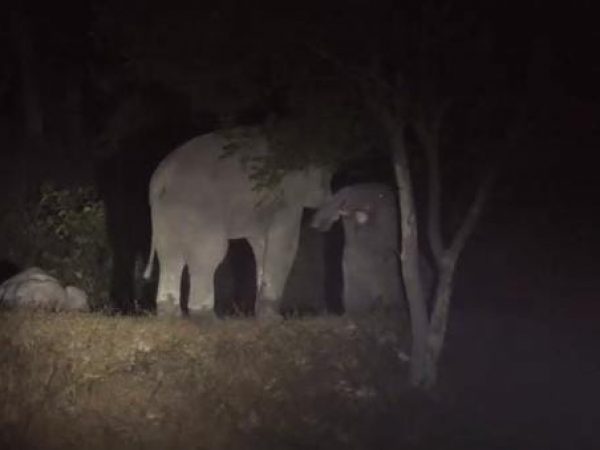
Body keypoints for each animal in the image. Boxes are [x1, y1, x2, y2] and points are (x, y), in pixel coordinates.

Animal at [143, 126, 331, 318]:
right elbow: (285, 246)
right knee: (209, 255)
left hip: (166, 211)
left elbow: (261, 246)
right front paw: (274, 318)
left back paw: (170, 314)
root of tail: (159, 180)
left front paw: (262, 315)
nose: (322, 223)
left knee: (170, 257)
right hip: (199, 208)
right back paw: (206, 316)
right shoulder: (287, 199)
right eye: (327, 179)